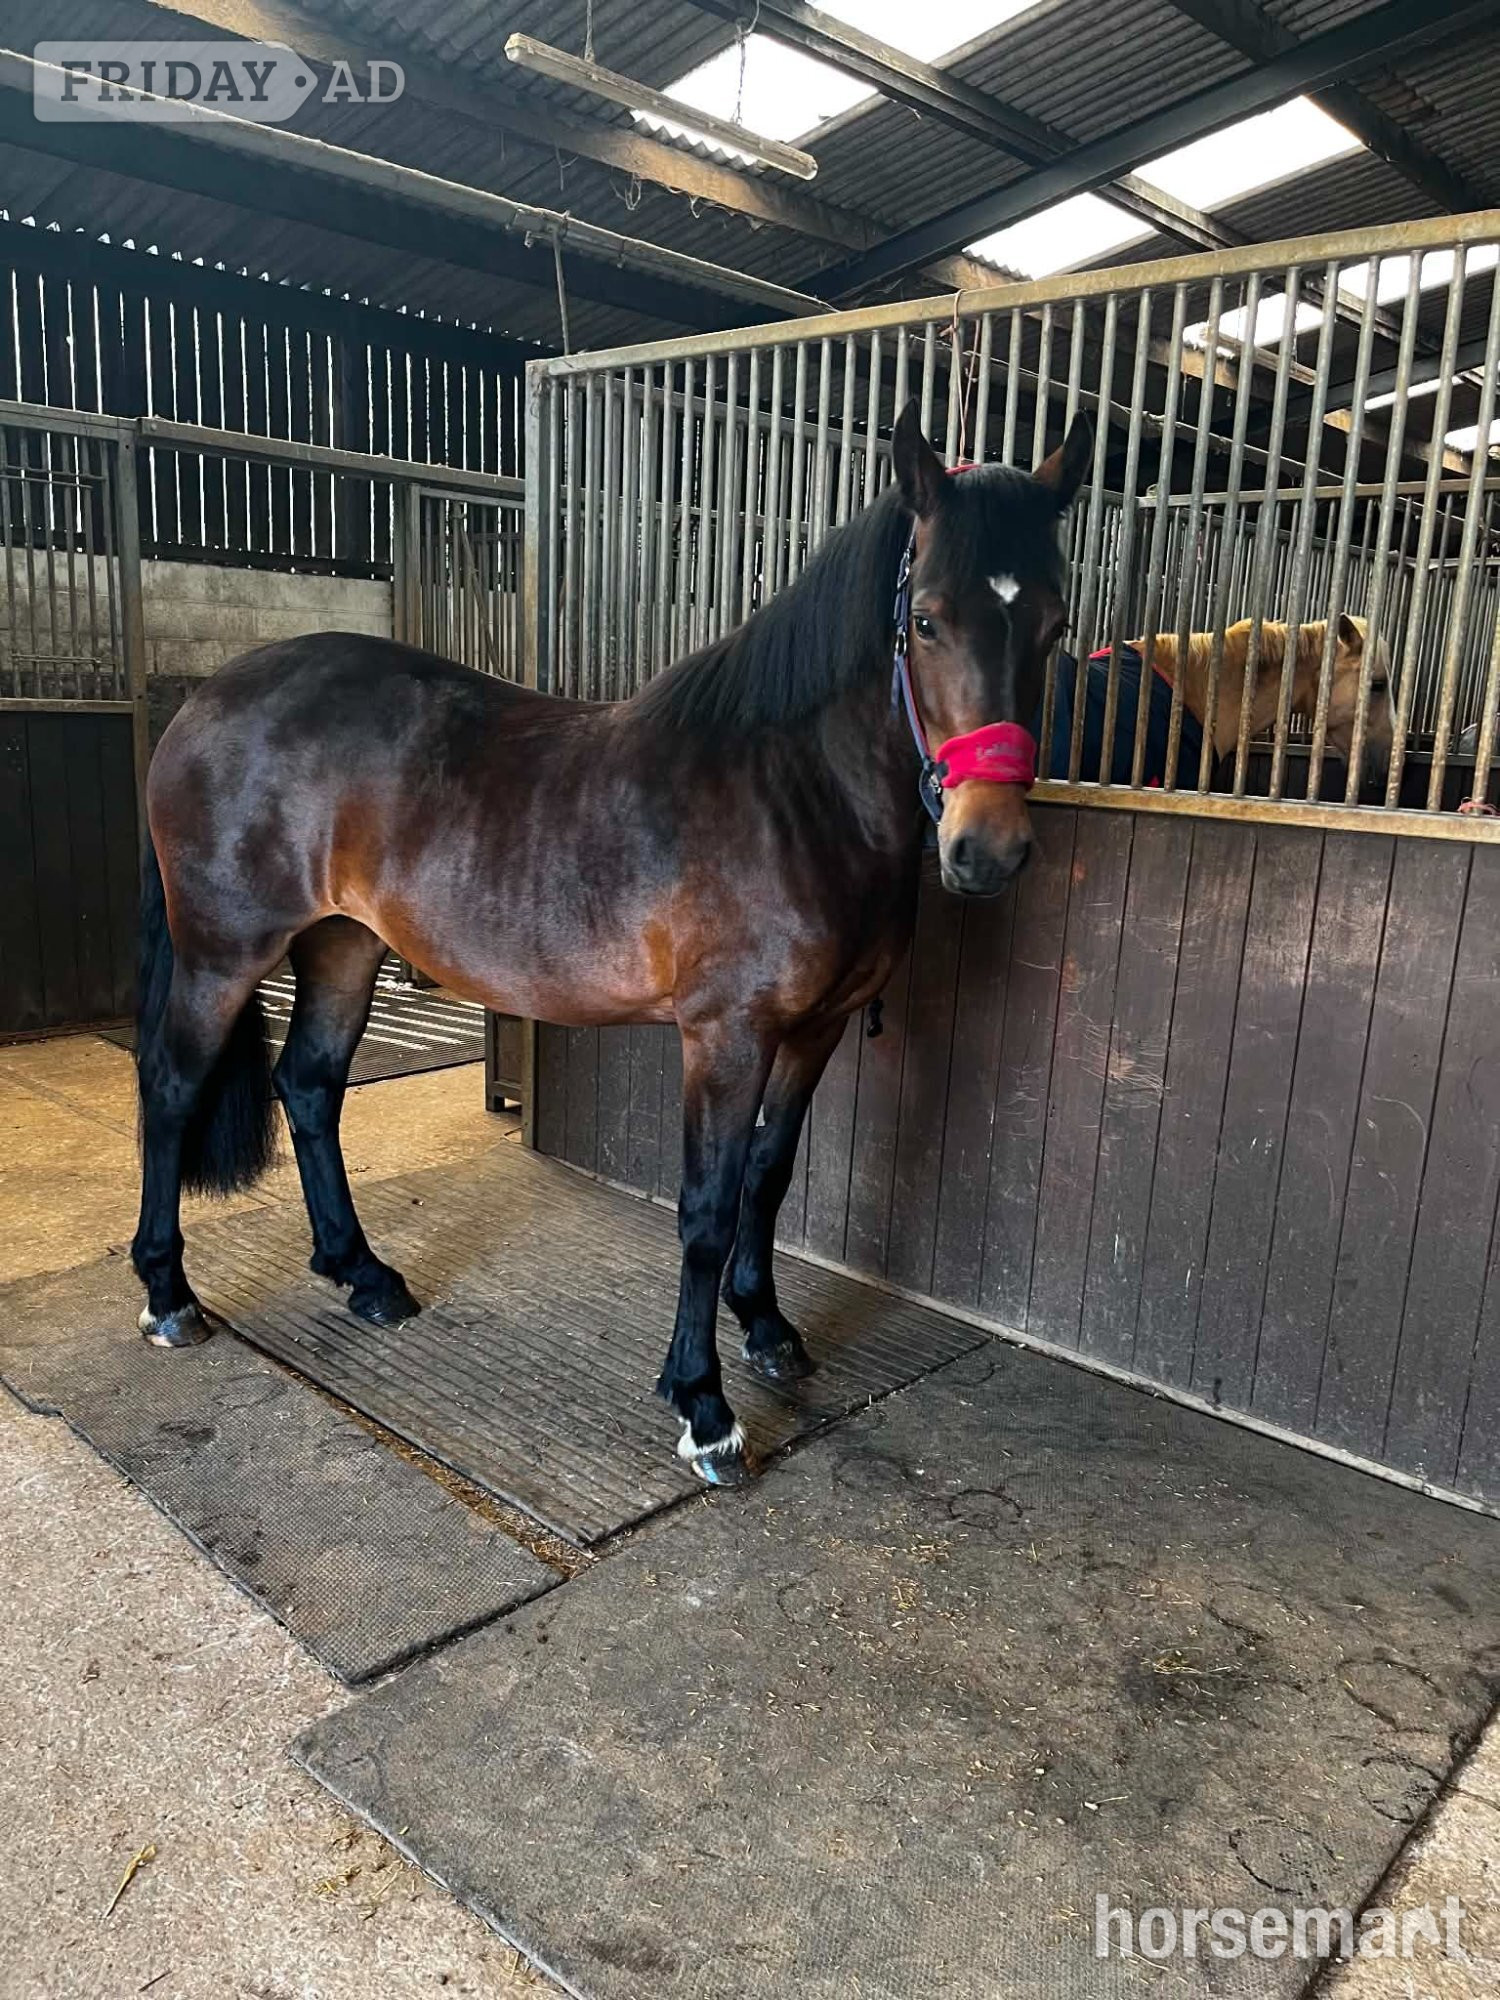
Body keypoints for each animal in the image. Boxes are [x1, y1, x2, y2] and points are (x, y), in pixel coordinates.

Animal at [130, 400, 1091, 1487]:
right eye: (925, 618)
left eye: (1056, 622)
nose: (988, 848)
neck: (793, 796)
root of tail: (205, 700)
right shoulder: (726, 1035)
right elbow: (707, 1205)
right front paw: (704, 1406)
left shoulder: (818, 1029)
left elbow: (770, 1174)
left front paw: (767, 1329)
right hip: (223, 953)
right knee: (172, 1088)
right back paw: (170, 1297)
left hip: (341, 946)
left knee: (309, 1085)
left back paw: (364, 1275)